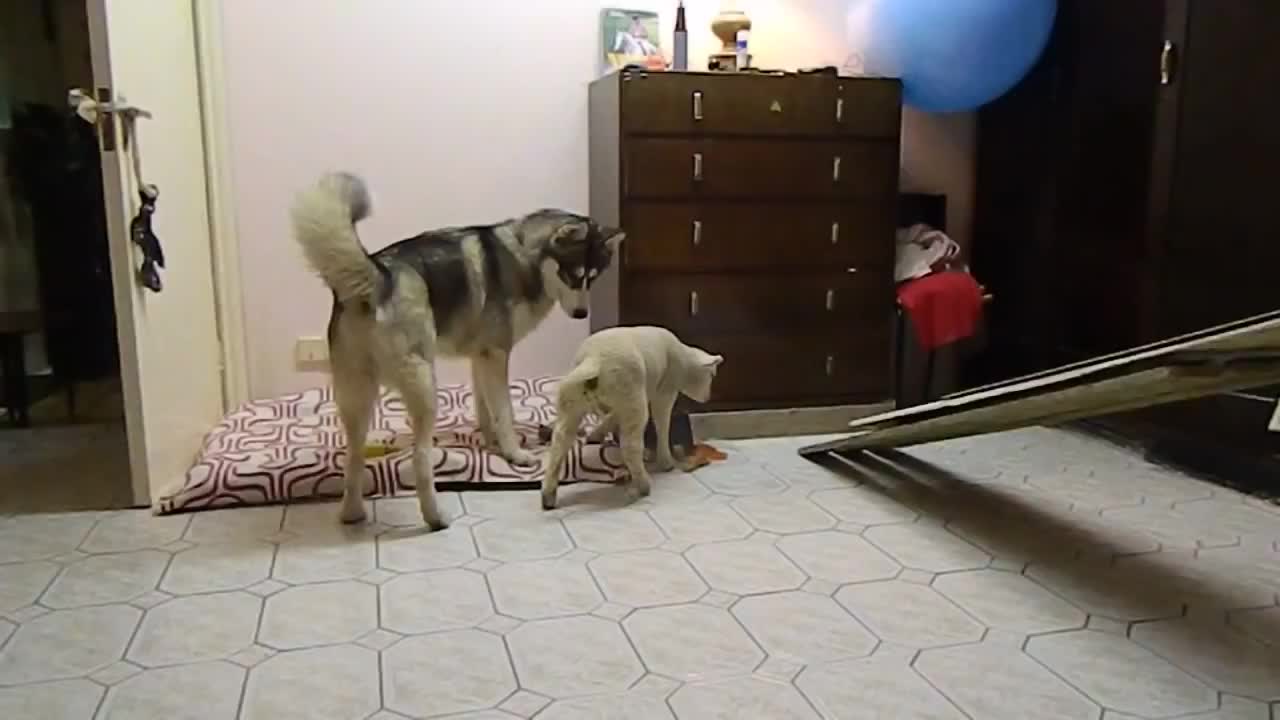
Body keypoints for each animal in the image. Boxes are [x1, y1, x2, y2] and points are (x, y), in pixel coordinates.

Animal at [291, 170, 629, 525]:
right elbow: (504, 410)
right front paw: (515, 454)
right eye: (571, 275)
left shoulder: (480, 356)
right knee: (420, 458)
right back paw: (435, 518)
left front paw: (491, 444)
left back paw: (353, 513)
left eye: (592, 278)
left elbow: (485, 407)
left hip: (356, 396)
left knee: (353, 457)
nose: (581, 314)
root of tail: (378, 276)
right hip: (425, 387)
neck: (523, 256)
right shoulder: (496, 354)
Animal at [537, 322, 721, 507]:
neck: (683, 358)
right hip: (632, 398)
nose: (708, 397)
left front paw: (596, 434)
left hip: (573, 403)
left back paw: (548, 495)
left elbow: (612, 417)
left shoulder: (622, 404)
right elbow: (662, 423)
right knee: (630, 447)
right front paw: (666, 462)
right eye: (711, 375)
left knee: (559, 442)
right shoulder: (664, 391)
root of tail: (593, 360)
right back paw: (643, 485)